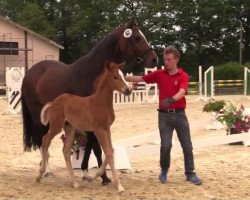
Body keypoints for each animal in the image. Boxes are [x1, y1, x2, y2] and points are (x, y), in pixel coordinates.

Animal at [22, 19, 158, 175]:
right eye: (136, 38)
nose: (154, 59)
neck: (90, 73)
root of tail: (29, 72)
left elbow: (93, 145)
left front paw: (92, 171)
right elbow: (95, 146)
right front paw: (98, 174)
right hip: (38, 115)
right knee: (42, 139)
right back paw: (46, 170)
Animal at [36, 61, 133, 191]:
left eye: (123, 75)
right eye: (115, 77)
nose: (128, 90)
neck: (100, 103)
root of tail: (53, 102)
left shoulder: (107, 129)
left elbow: (111, 151)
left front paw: (94, 177)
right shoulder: (99, 130)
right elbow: (108, 153)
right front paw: (119, 186)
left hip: (70, 128)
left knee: (65, 150)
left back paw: (74, 183)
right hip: (56, 126)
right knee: (45, 140)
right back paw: (40, 174)